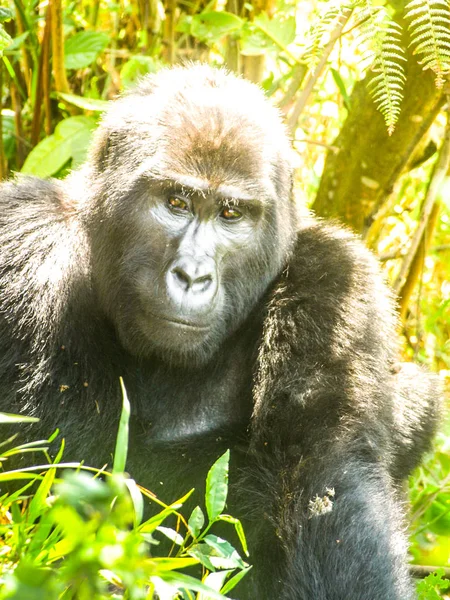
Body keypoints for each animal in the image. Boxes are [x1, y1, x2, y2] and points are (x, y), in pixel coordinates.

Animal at [0, 63, 442, 596]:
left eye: (231, 213)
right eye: (176, 202)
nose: (193, 276)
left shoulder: (335, 281)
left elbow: (328, 480)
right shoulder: (21, 234)